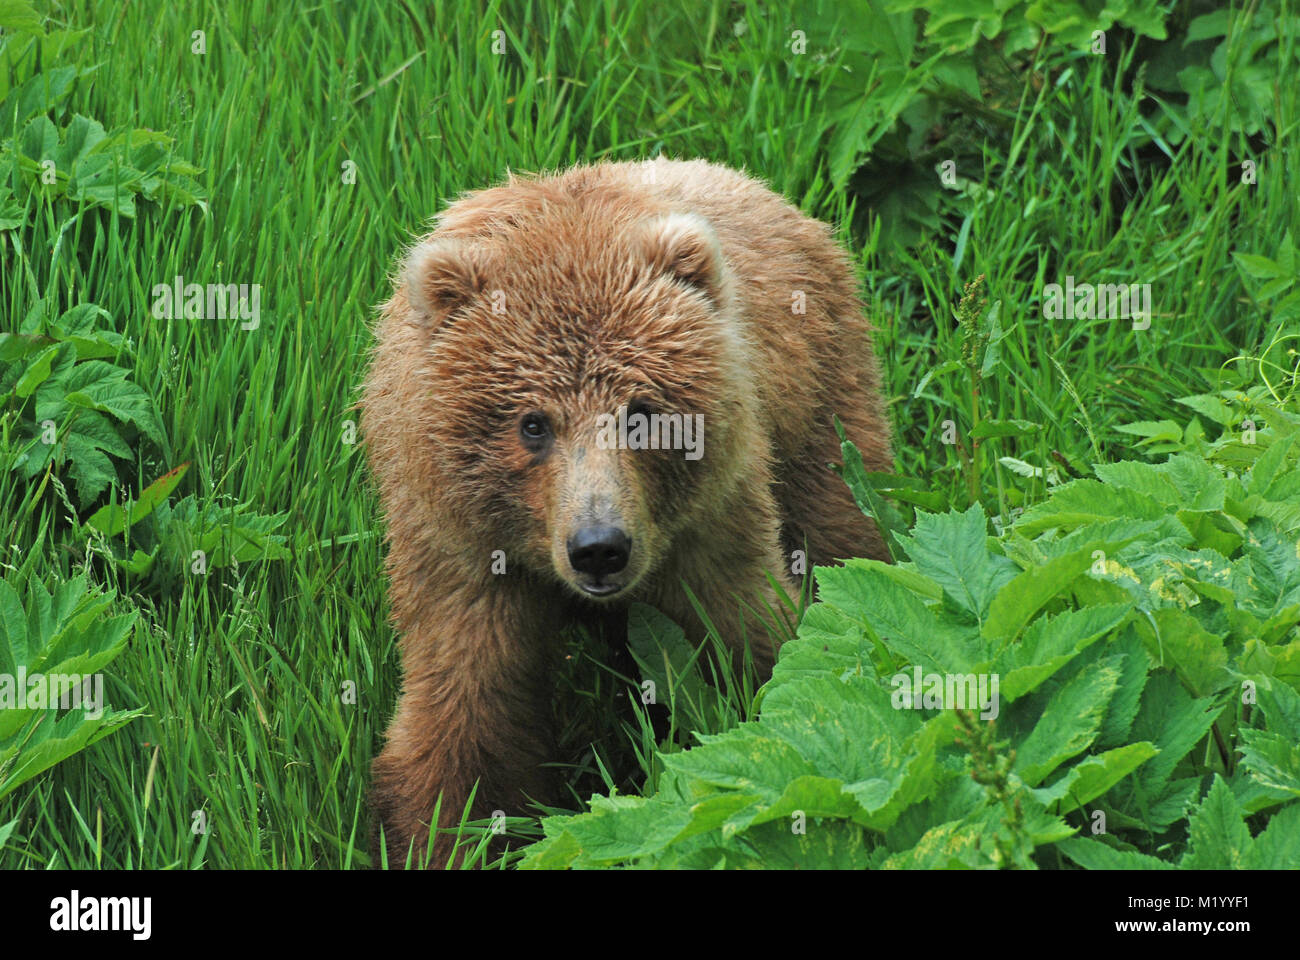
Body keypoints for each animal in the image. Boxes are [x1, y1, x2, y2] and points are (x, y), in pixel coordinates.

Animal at [361, 158, 893, 866]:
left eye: (642, 413)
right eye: (532, 423)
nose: (599, 547)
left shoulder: (708, 521)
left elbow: (753, 642)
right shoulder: (460, 546)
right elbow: (468, 708)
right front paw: (447, 832)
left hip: (819, 393)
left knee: (842, 523)